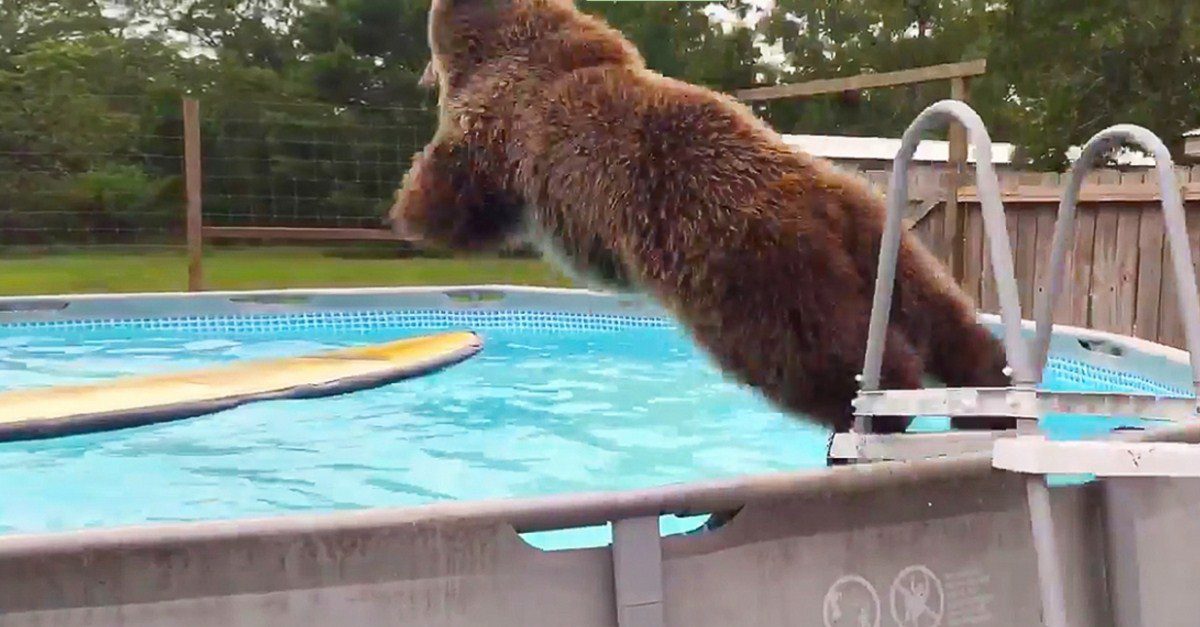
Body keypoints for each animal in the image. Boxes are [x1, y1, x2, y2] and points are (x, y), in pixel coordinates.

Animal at [391, 0, 1012, 434]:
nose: (420, 76)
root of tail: (820, 203)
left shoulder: (497, 124)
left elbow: (455, 190)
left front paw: (409, 210)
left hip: (747, 270)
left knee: (821, 353)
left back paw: (880, 407)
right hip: (881, 235)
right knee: (941, 318)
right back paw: (985, 392)